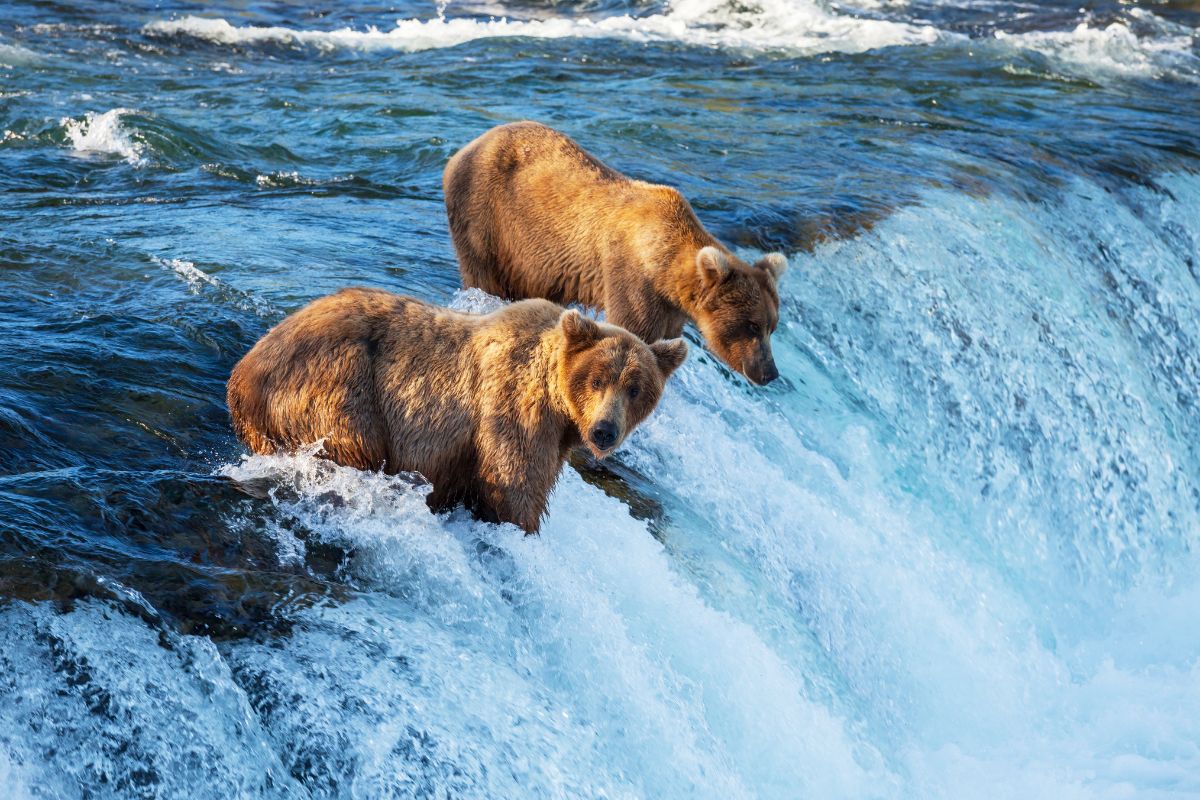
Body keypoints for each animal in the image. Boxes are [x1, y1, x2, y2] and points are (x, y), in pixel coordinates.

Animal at [227, 287, 687, 533]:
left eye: (635, 388)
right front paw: (522, 526)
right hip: (337, 386)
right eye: (596, 380)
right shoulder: (513, 410)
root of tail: (242, 373)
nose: (604, 430)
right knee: (352, 443)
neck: (560, 407)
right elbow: (514, 485)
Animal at [443, 121, 788, 385]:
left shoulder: (670, 307)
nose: (770, 372)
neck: (663, 265)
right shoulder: (632, 277)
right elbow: (634, 329)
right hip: (488, 218)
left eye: (772, 326)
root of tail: (463, 149)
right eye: (752, 325)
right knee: (484, 274)